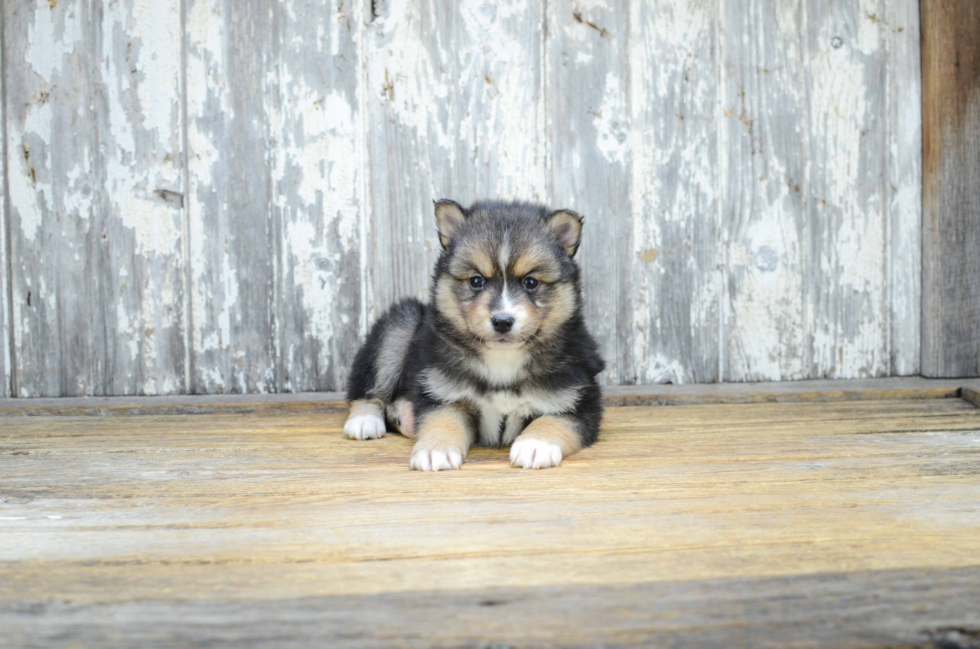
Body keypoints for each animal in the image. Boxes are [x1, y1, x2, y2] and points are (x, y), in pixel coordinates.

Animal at [344, 199, 604, 470]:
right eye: (476, 281)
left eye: (530, 282)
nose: (502, 321)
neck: (503, 359)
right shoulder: (445, 394)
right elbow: (442, 419)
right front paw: (435, 449)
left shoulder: (578, 400)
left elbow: (554, 420)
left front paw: (535, 444)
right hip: (399, 327)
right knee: (368, 391)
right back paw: (366, 420)